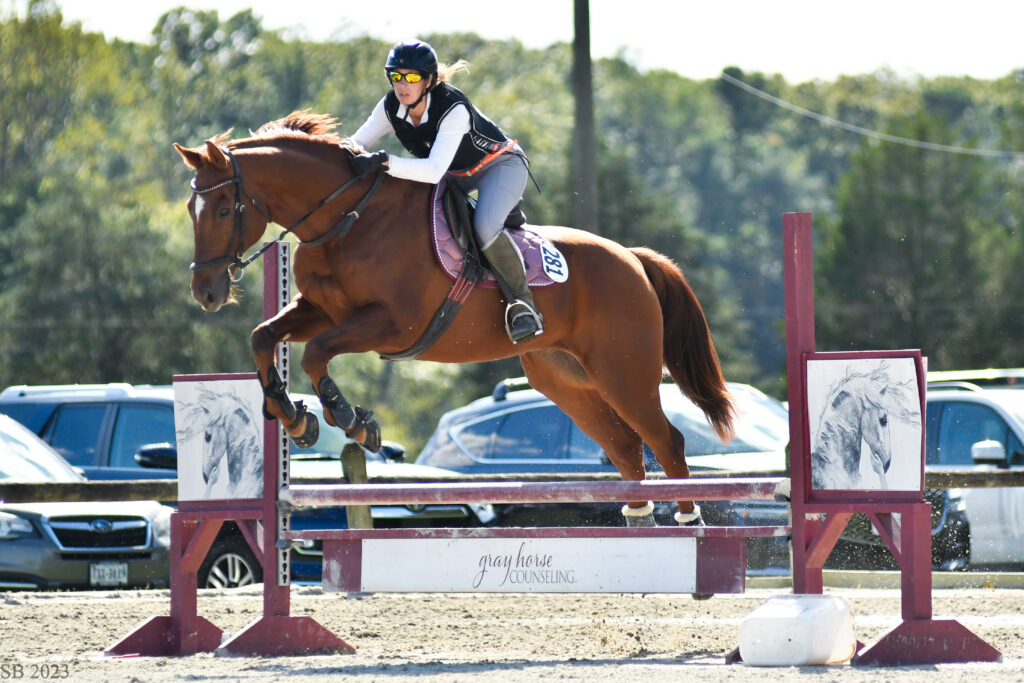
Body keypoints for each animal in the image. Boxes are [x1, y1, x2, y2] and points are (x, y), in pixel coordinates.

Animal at [173, 111, 734, 523]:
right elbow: (264, 337)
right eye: (190, 211)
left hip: (624, 373)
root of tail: (634, 259)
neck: (347, 221)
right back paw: (639, 523)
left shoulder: (391, 325)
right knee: (625, 446)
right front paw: (292, 414)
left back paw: (688, 526)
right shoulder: (318, 310)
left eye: (222, 210)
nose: (206, 292)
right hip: (566, 379)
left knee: (665, 441)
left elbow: (315, 354)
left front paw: (352, 421)